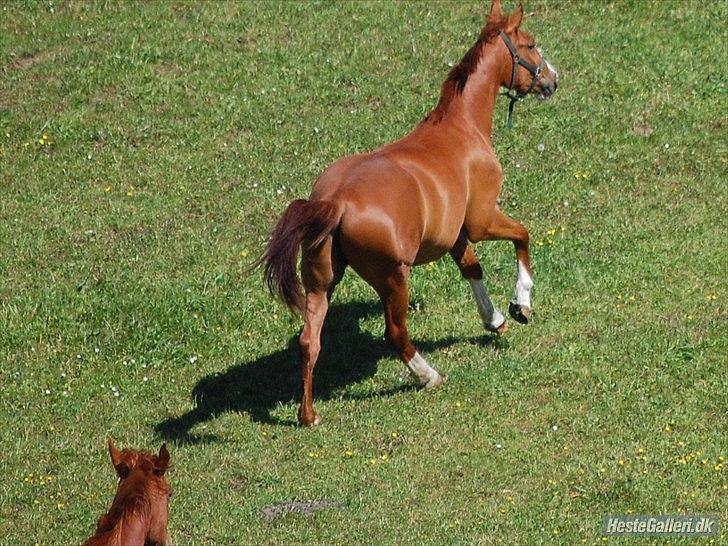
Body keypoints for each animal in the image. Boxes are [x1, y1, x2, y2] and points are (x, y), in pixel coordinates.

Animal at [260, 1, 556, 424]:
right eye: (530, 44)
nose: (553, 79)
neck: (461, 128)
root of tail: (335, 201)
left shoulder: (456, 235)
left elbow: (472, 269)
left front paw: (495, 319)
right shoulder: (481, 221)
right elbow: (524, 236)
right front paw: (520, 306)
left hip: (321, 281)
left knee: (308, 340)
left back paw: (308, 415)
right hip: (393, 278)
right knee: (395, 332)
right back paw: (428, 375)